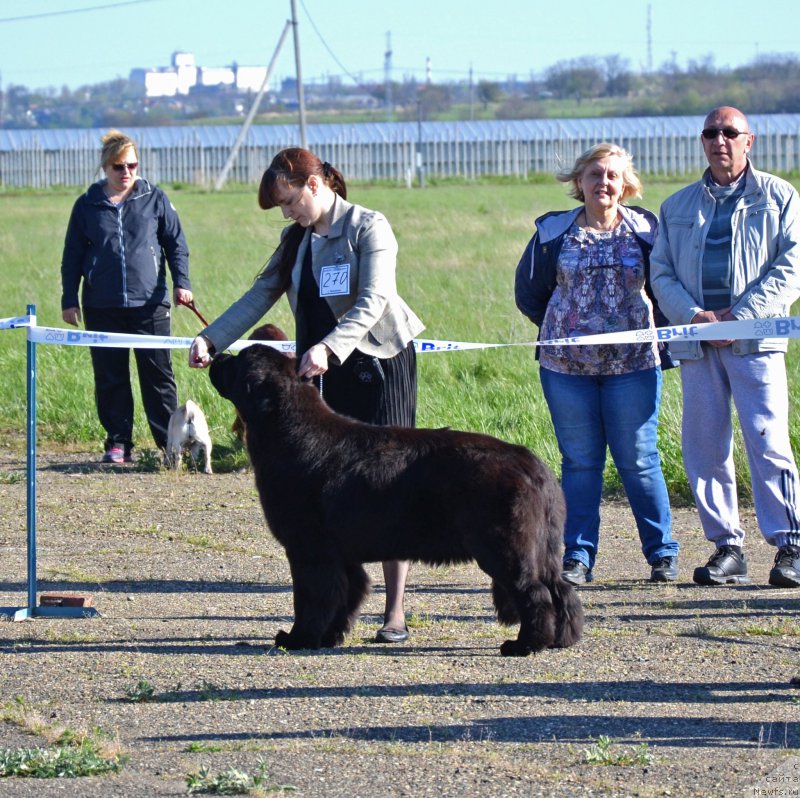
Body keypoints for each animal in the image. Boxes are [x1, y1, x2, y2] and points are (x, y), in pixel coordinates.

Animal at [208, 346, 580, 660]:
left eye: (239, 361)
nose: (215, 355)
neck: (287, 430)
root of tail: (533, 464)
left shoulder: (309, 549)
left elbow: (312, 597)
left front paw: (298, 638)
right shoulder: (340, 554)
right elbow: (347, 593)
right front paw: (330, 636)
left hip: (503, 547)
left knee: (534, 592)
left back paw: (525, 645)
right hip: (542, 547)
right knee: (560, 588)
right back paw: (563, 639)